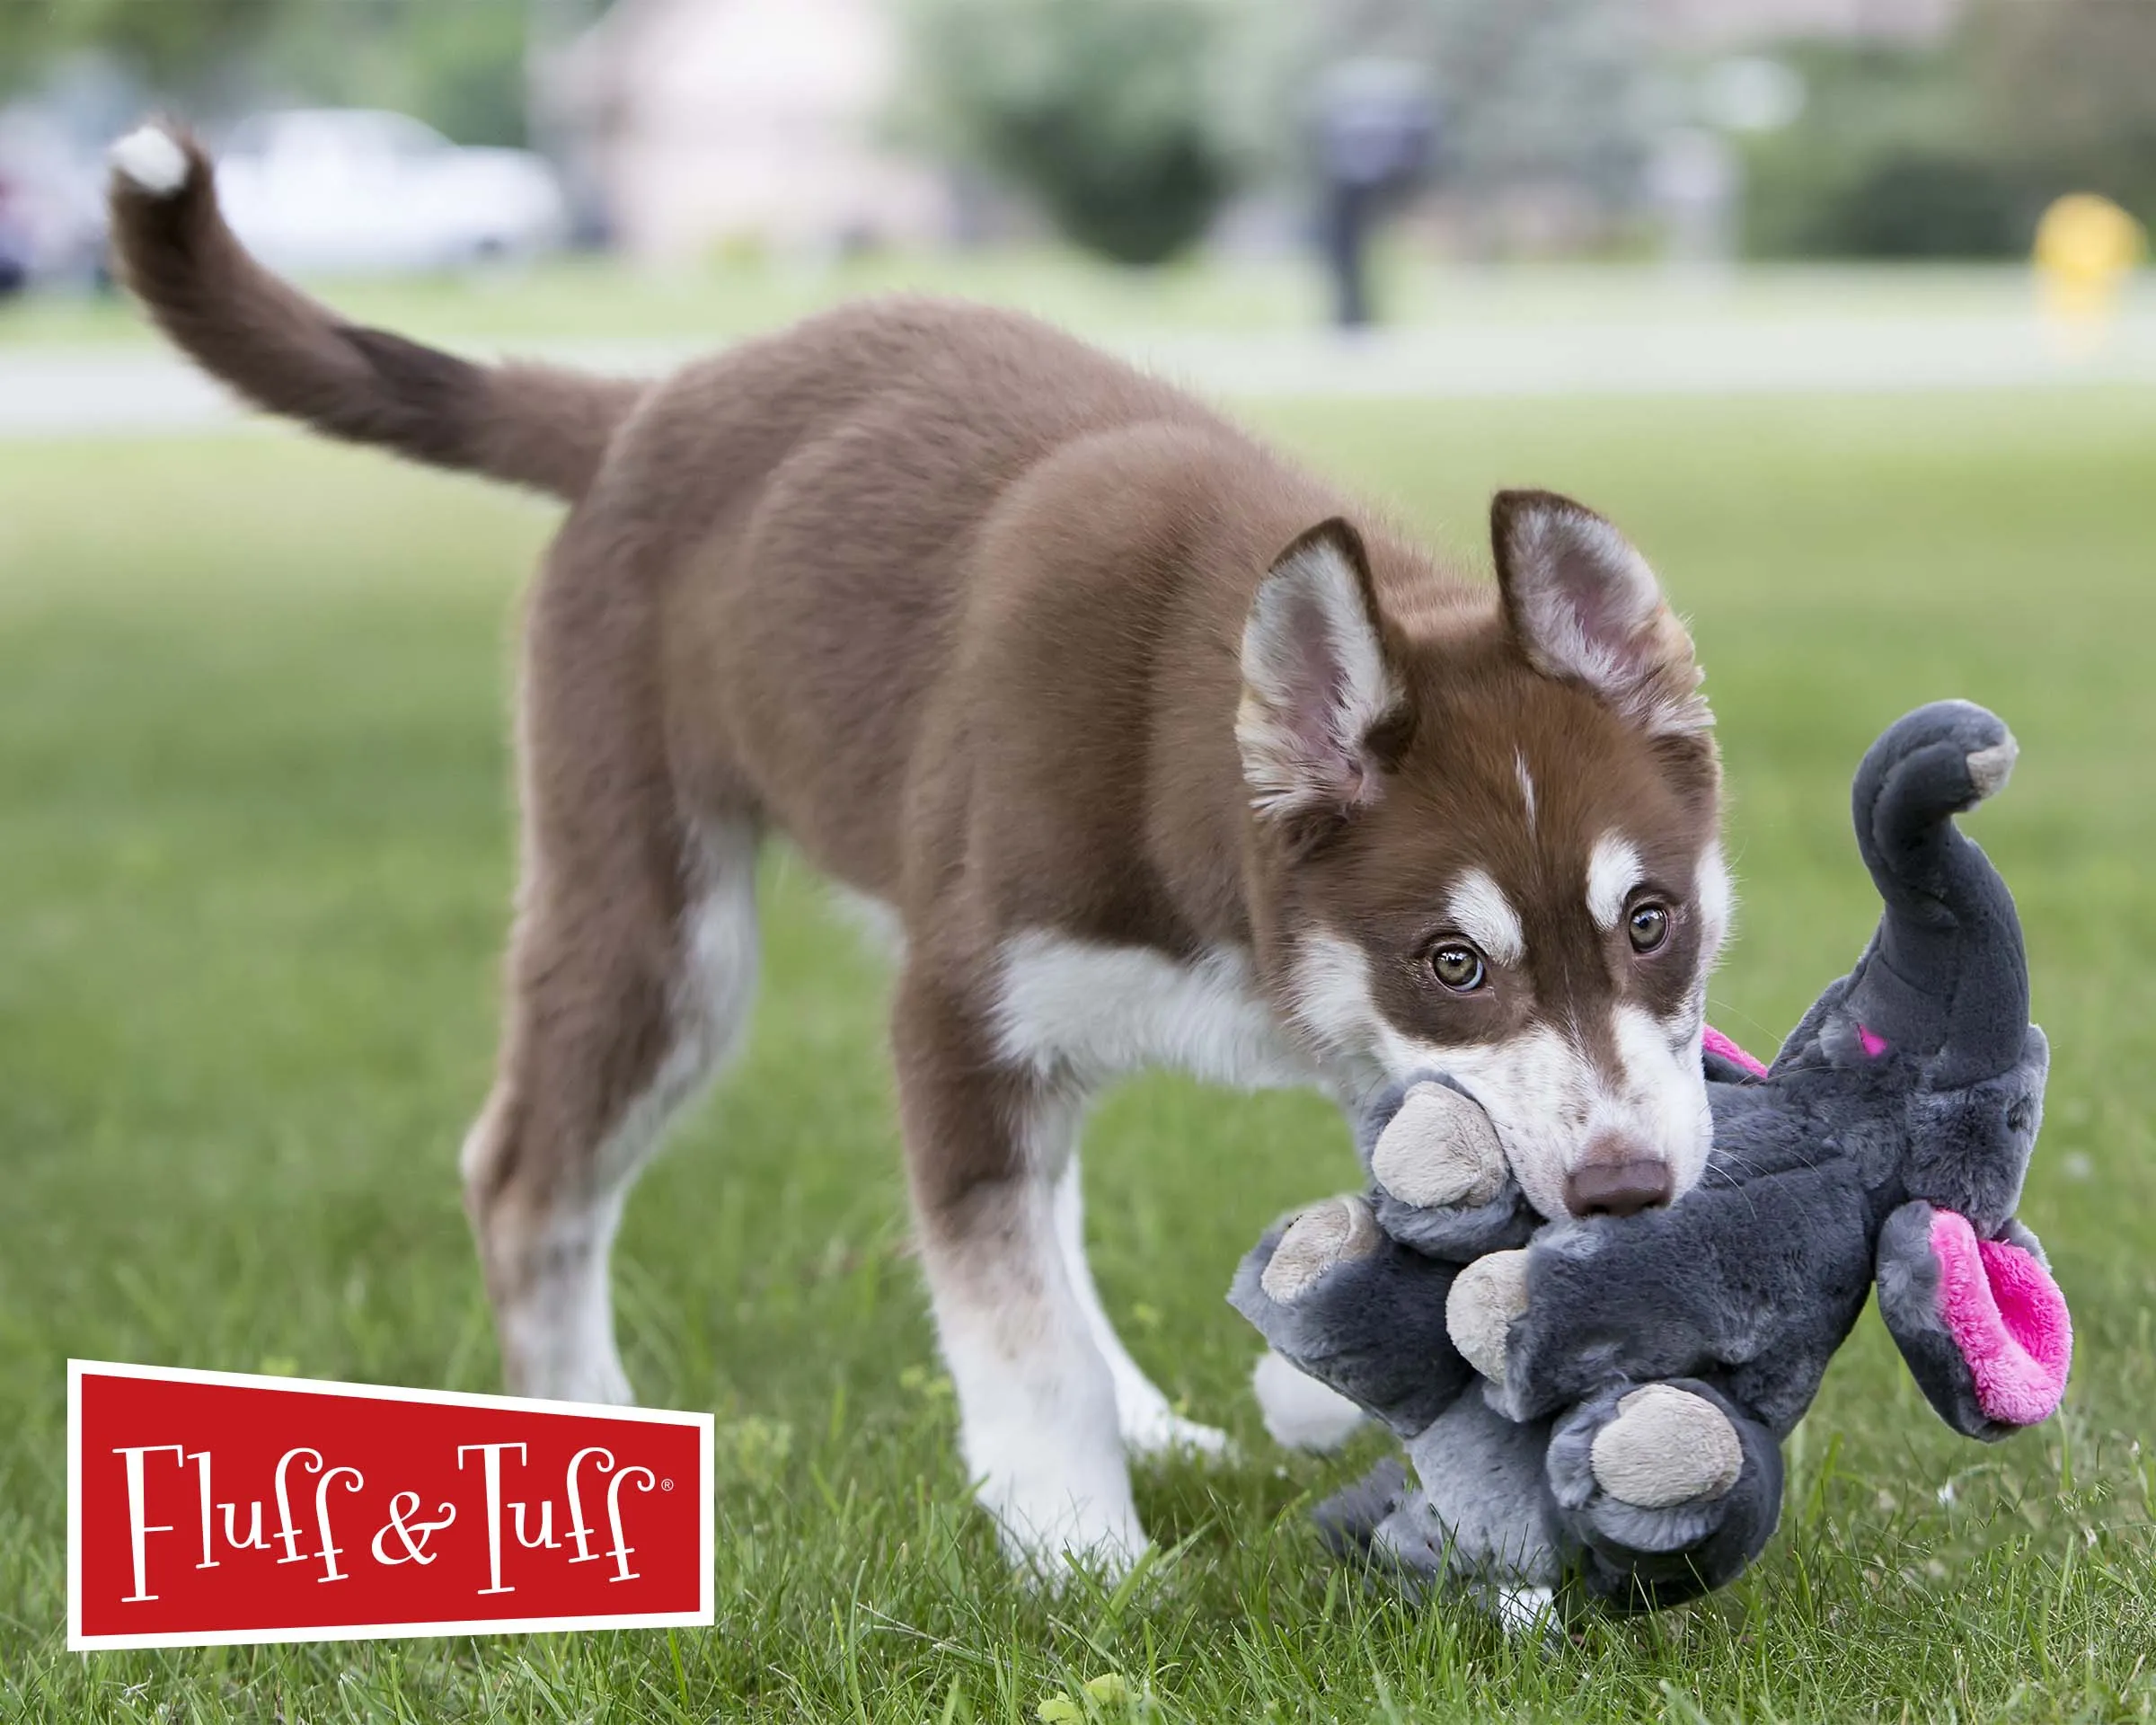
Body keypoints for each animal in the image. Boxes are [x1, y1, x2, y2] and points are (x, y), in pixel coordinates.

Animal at [109, 121, 1733, 1578]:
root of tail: (651, 402)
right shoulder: (958, 1013)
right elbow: (1014, 1329)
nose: (1630, 1193)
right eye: (1454, 961)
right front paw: (1083, 1560)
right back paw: (589, 1421)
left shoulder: (1349, 1058)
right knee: (527, 1176)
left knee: (1040, 1197)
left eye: (1652, 922)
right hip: (660, 931)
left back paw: (1156, 1424)